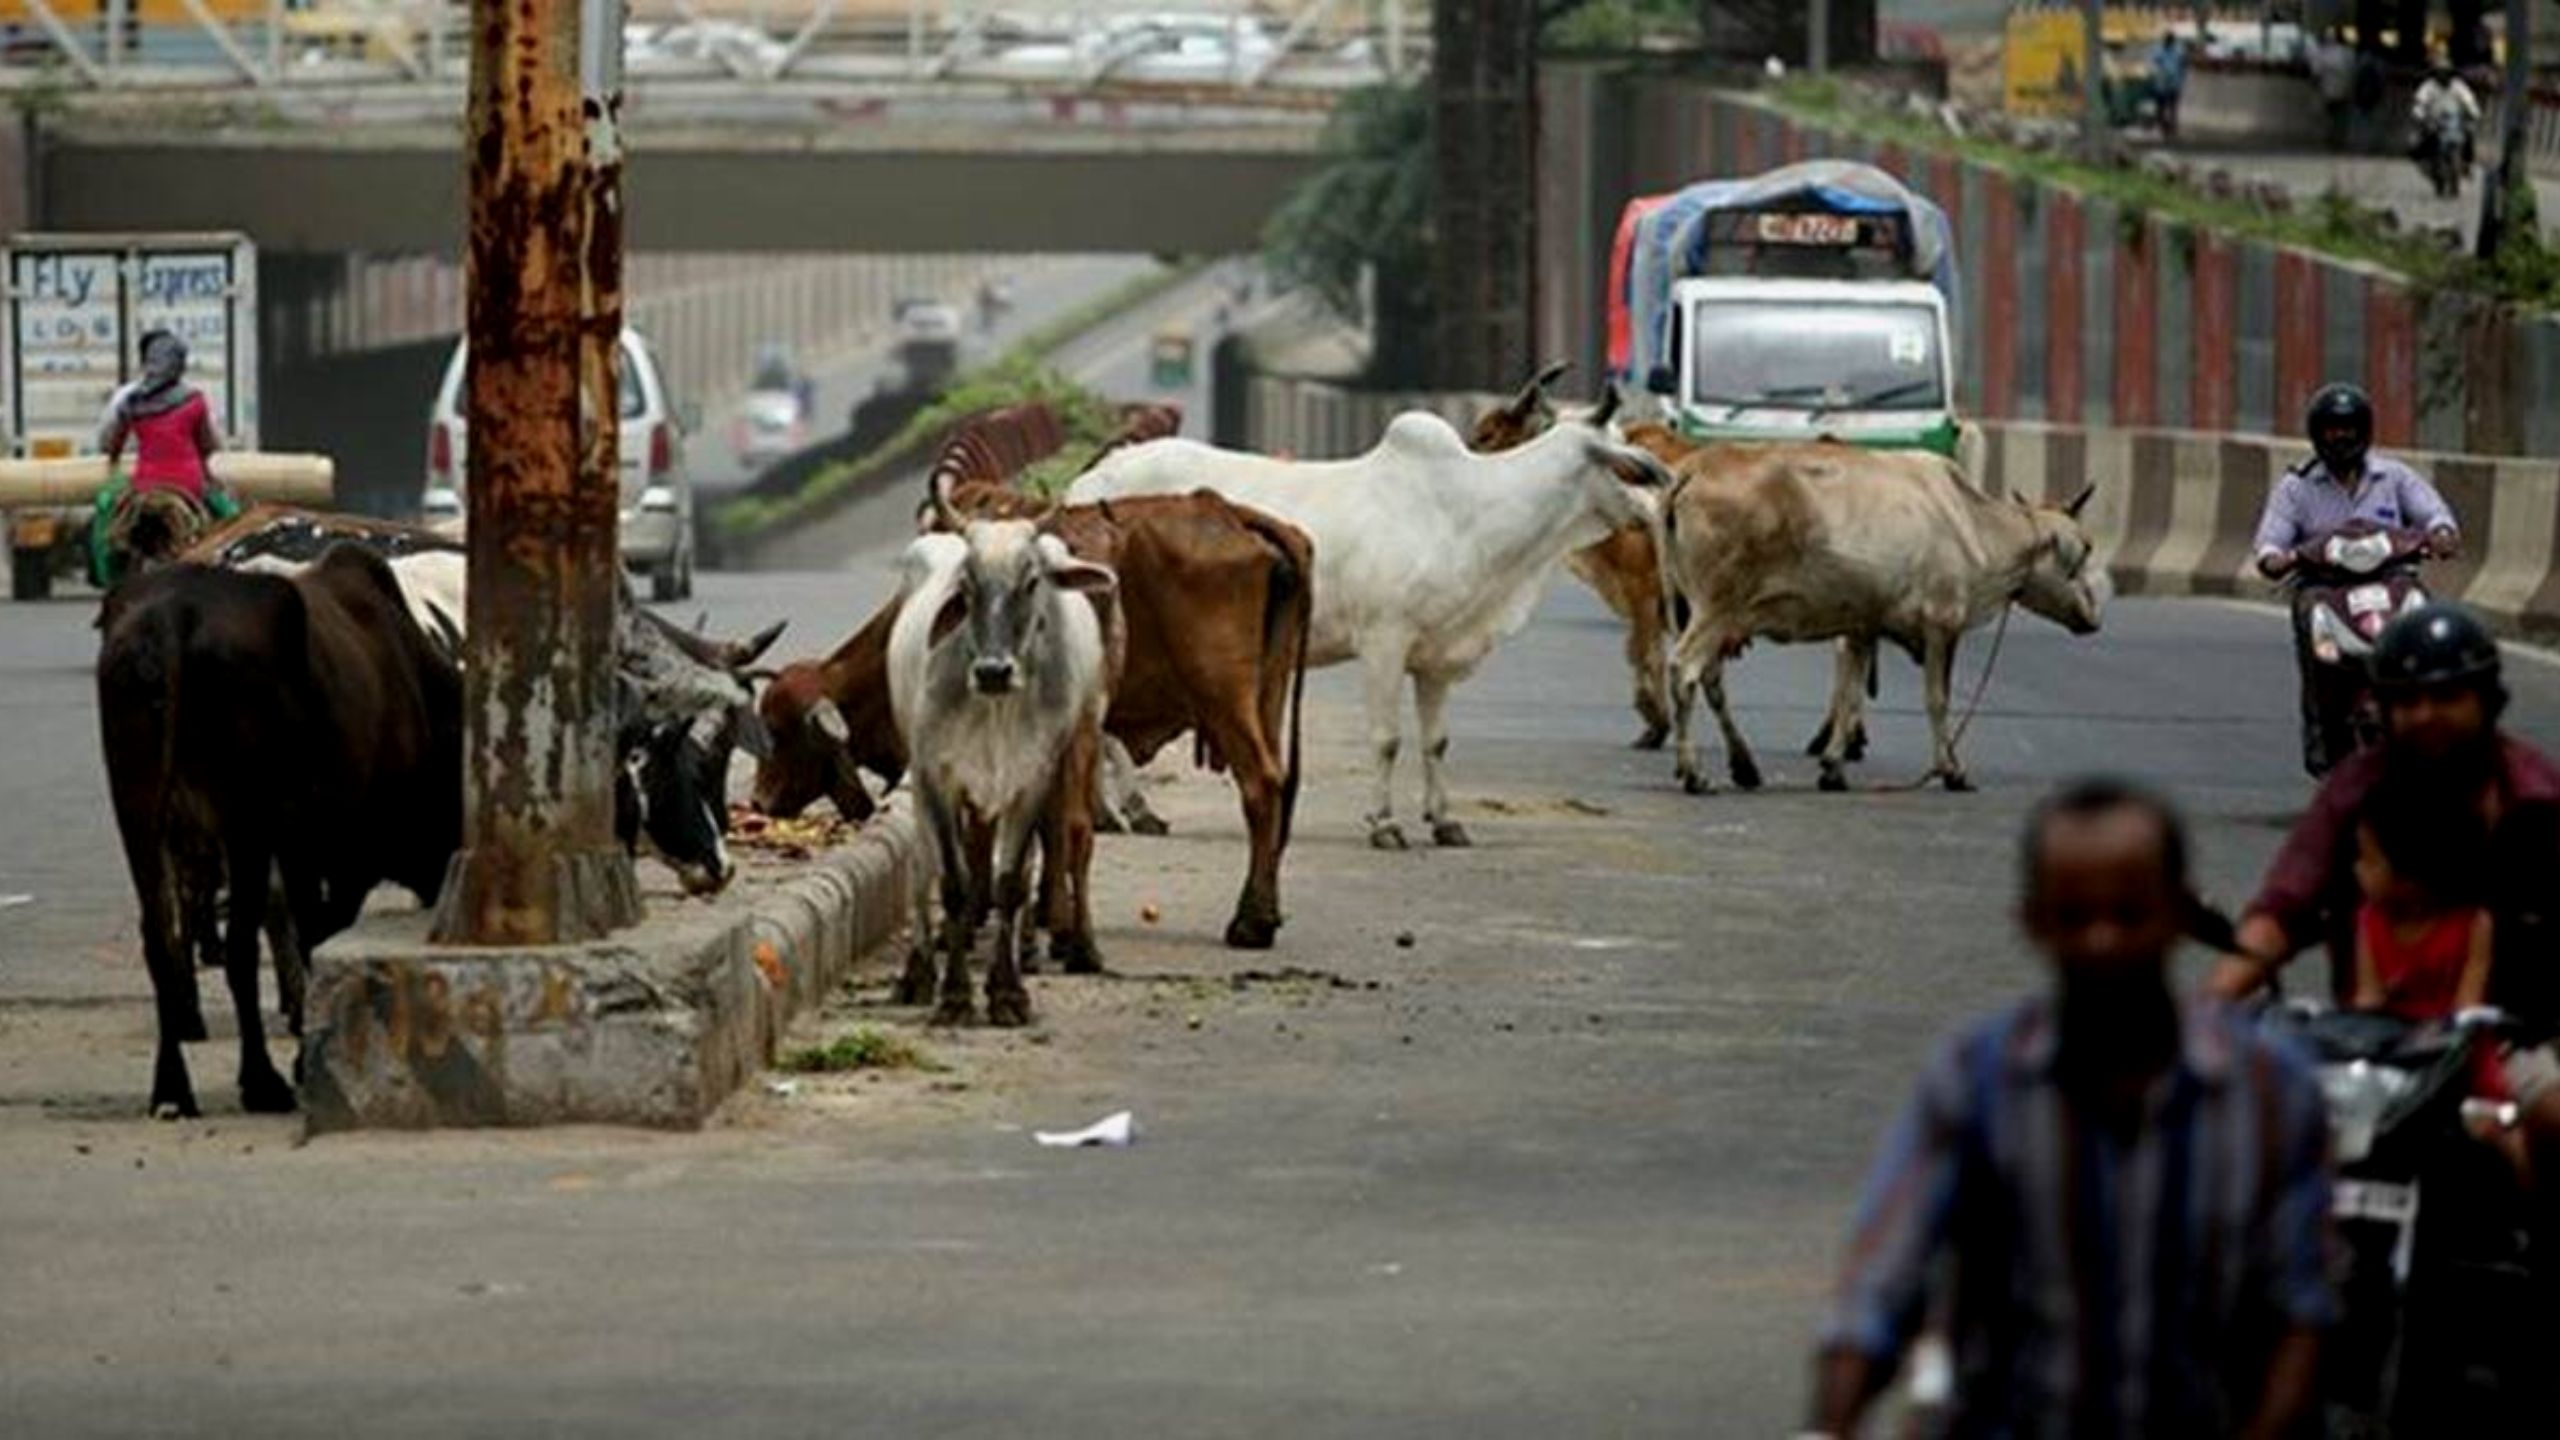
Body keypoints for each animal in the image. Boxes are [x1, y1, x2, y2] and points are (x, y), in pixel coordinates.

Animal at [1070, 409, 1669, 845]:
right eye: (1626, 467)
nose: (1658, 505)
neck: (1467, 513)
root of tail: (1090, 480)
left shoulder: (1436, 658)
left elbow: (1436, 742)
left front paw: (1445, 821)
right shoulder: (1385, 643)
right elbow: (1387, 740)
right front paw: (1385, 824)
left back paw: (1113, 813)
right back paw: (1130, 811)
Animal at [1658, 443, 2099, 789]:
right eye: (2086, 548)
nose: (2094, 615)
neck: (1973, 523)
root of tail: (1693, 469)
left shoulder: (1862, 627)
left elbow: (1851, 693)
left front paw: (1833, 767)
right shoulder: (1943, 622)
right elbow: (1937, 699)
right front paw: (1951, 770)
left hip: (1695, 610)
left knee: (1709, 680)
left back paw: (1737, 766)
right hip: (1716, 609)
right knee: (1684, 670)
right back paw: (1695, 773)